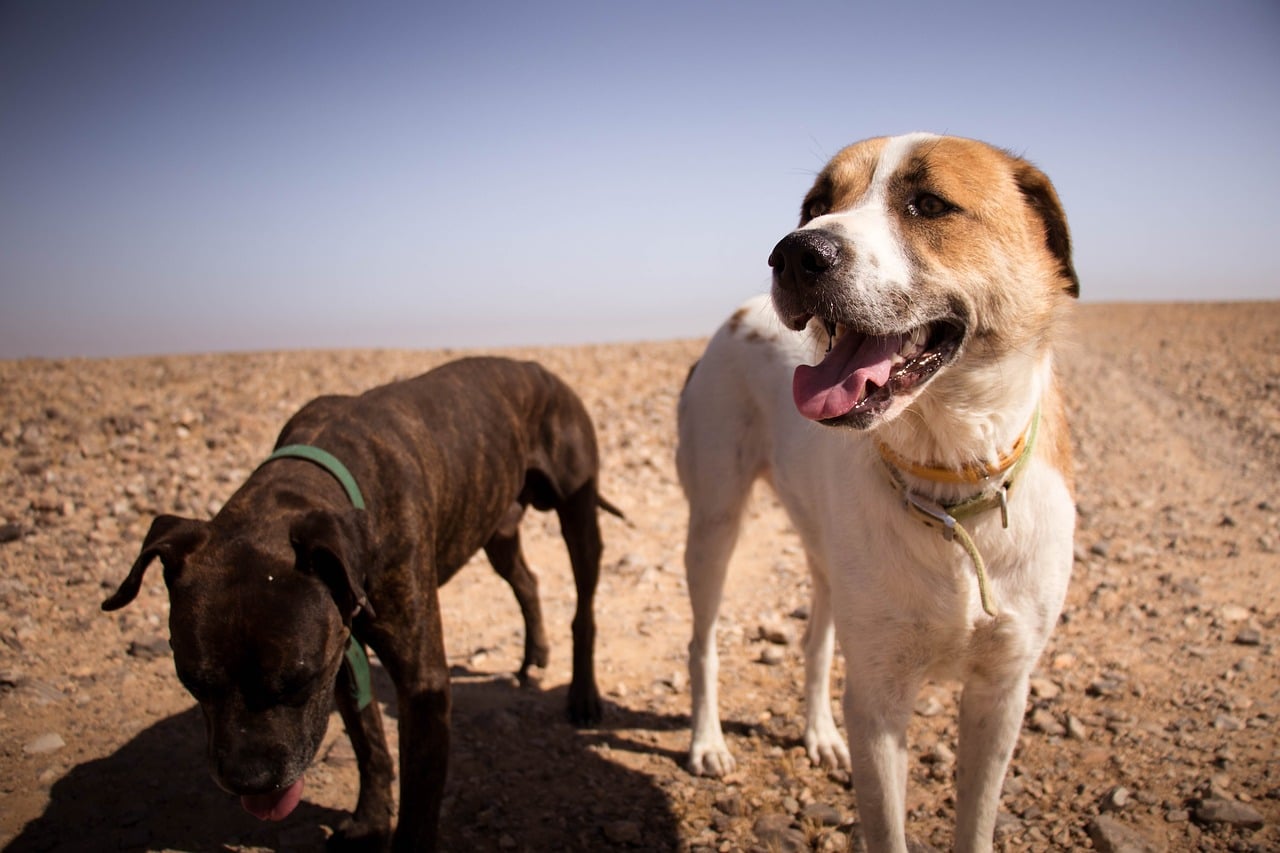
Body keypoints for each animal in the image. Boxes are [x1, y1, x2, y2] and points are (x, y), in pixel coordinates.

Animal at [104, 350, 614, 845]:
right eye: (192, 681)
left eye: (297, 681)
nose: (250, 782)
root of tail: (543, 372)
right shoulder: (343, 659)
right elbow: (370, 748)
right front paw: (369, 821)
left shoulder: (418, 682)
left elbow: (419, 802)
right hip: (497, 528)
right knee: (526, 580)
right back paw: (535, 654)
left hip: (578, 515)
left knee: (584, 609)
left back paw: (583, 695)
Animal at [680, 129, 1080, 845]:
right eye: (816, 204)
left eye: (929, 204)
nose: (794, 253)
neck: (949, 491)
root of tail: (736, 316)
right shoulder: (880, 700)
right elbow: (887, 829)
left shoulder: (1002, 693)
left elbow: (977, 821)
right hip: (714, 523)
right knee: (703, 644)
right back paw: (708, 743)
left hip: (825, 557)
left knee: (816, 643)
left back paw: (818, 734)